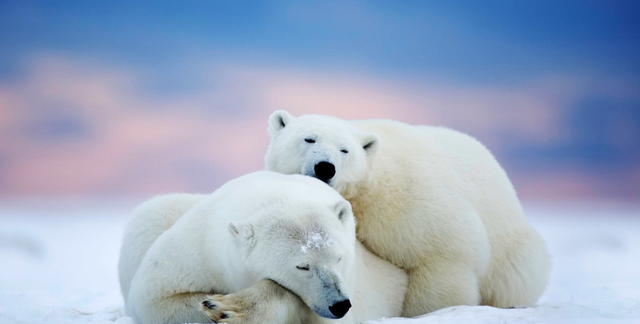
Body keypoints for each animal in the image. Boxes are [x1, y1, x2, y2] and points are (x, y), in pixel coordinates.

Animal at [118, 171, 408, 322]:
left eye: (339, 258)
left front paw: (228, 308)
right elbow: (157, 299)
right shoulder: (198, 248)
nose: (339, 304)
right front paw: (217, 306)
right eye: (302, 266)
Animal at [264, 110, 552, 316]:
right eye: (308, 138)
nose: (325, 167)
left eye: (345, 150)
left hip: (512, 250)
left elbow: (441, 254)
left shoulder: (409, 203)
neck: (367, 190)